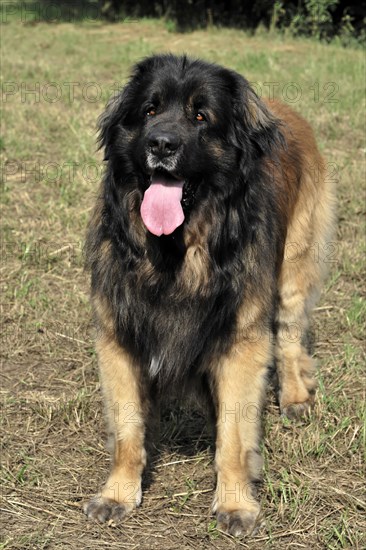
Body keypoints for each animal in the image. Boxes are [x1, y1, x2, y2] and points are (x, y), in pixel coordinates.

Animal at [84, 54, 336, 536]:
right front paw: (118, 494)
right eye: (149, 110)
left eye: (201, 117)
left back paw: (295, 397)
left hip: (294, 271)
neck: (177, 252)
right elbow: (127, 430)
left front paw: (236, 504)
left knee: (289, 339)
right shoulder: (120, 338)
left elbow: (233, 438)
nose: (161, 144)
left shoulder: (241, 343)